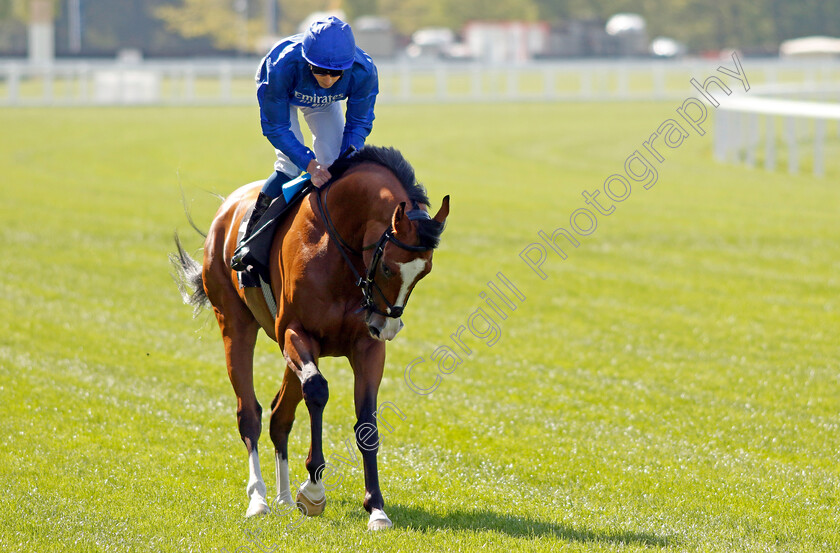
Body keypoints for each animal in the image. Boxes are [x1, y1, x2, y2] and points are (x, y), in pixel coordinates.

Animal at [167, 147, 450, 532]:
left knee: (279, 416)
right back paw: (259, 499)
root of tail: (226, 210)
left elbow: (367, 420)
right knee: (250, 413)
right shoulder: (295, 332)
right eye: (388, 267)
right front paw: (314, 490)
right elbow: (316, 390)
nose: (387, 327)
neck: (338, 248)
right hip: (235, 324)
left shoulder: (367, 347)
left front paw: (376, 508)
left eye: (425, 272)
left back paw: (284, 498)